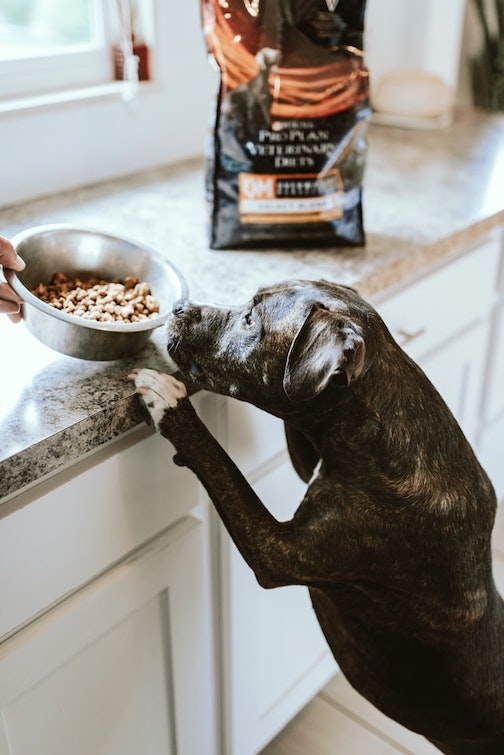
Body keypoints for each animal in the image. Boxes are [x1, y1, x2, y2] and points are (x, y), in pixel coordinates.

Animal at [130, 280, 504, 752]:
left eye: (250, 320)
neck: (379, 430)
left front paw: (171, 405)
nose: (178, 307)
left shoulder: (279, 552)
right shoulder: (310, 456)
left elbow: (220, 464)